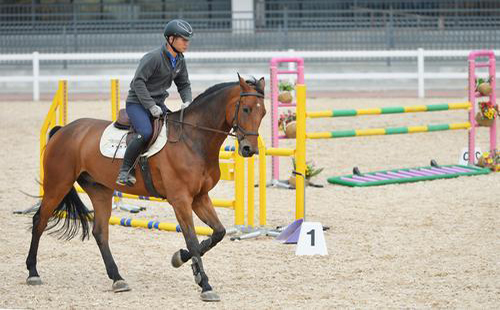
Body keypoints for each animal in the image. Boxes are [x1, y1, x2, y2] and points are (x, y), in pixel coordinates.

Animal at [24, 74, 266, 300]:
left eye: (263, 113)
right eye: (245, 109)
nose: (249, 149)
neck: (192, 139)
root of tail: (65, 130)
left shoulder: (200, 198)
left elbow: (218, 233)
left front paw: (180, 258)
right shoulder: (180, 200)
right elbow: (192, 239)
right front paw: (205, 284)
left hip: (99, 190)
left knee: (100, 232)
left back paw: (117, 279)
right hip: (58, 185)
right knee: (40, 220)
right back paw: (33, 272)